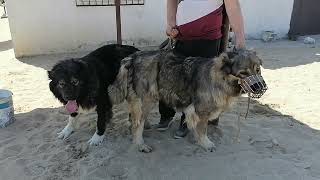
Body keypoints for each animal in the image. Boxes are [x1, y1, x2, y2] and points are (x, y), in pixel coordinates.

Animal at [109, 49, 264, 152]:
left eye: (258, 70)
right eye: (243, 73)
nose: (260, 87)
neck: (220, 77)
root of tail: (132, 57)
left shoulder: (194, 110)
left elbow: (195, 125)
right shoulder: (202, 110)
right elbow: (203, 129)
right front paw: (205, 143)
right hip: (147, 100)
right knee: (137, 124)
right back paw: (140, 144)